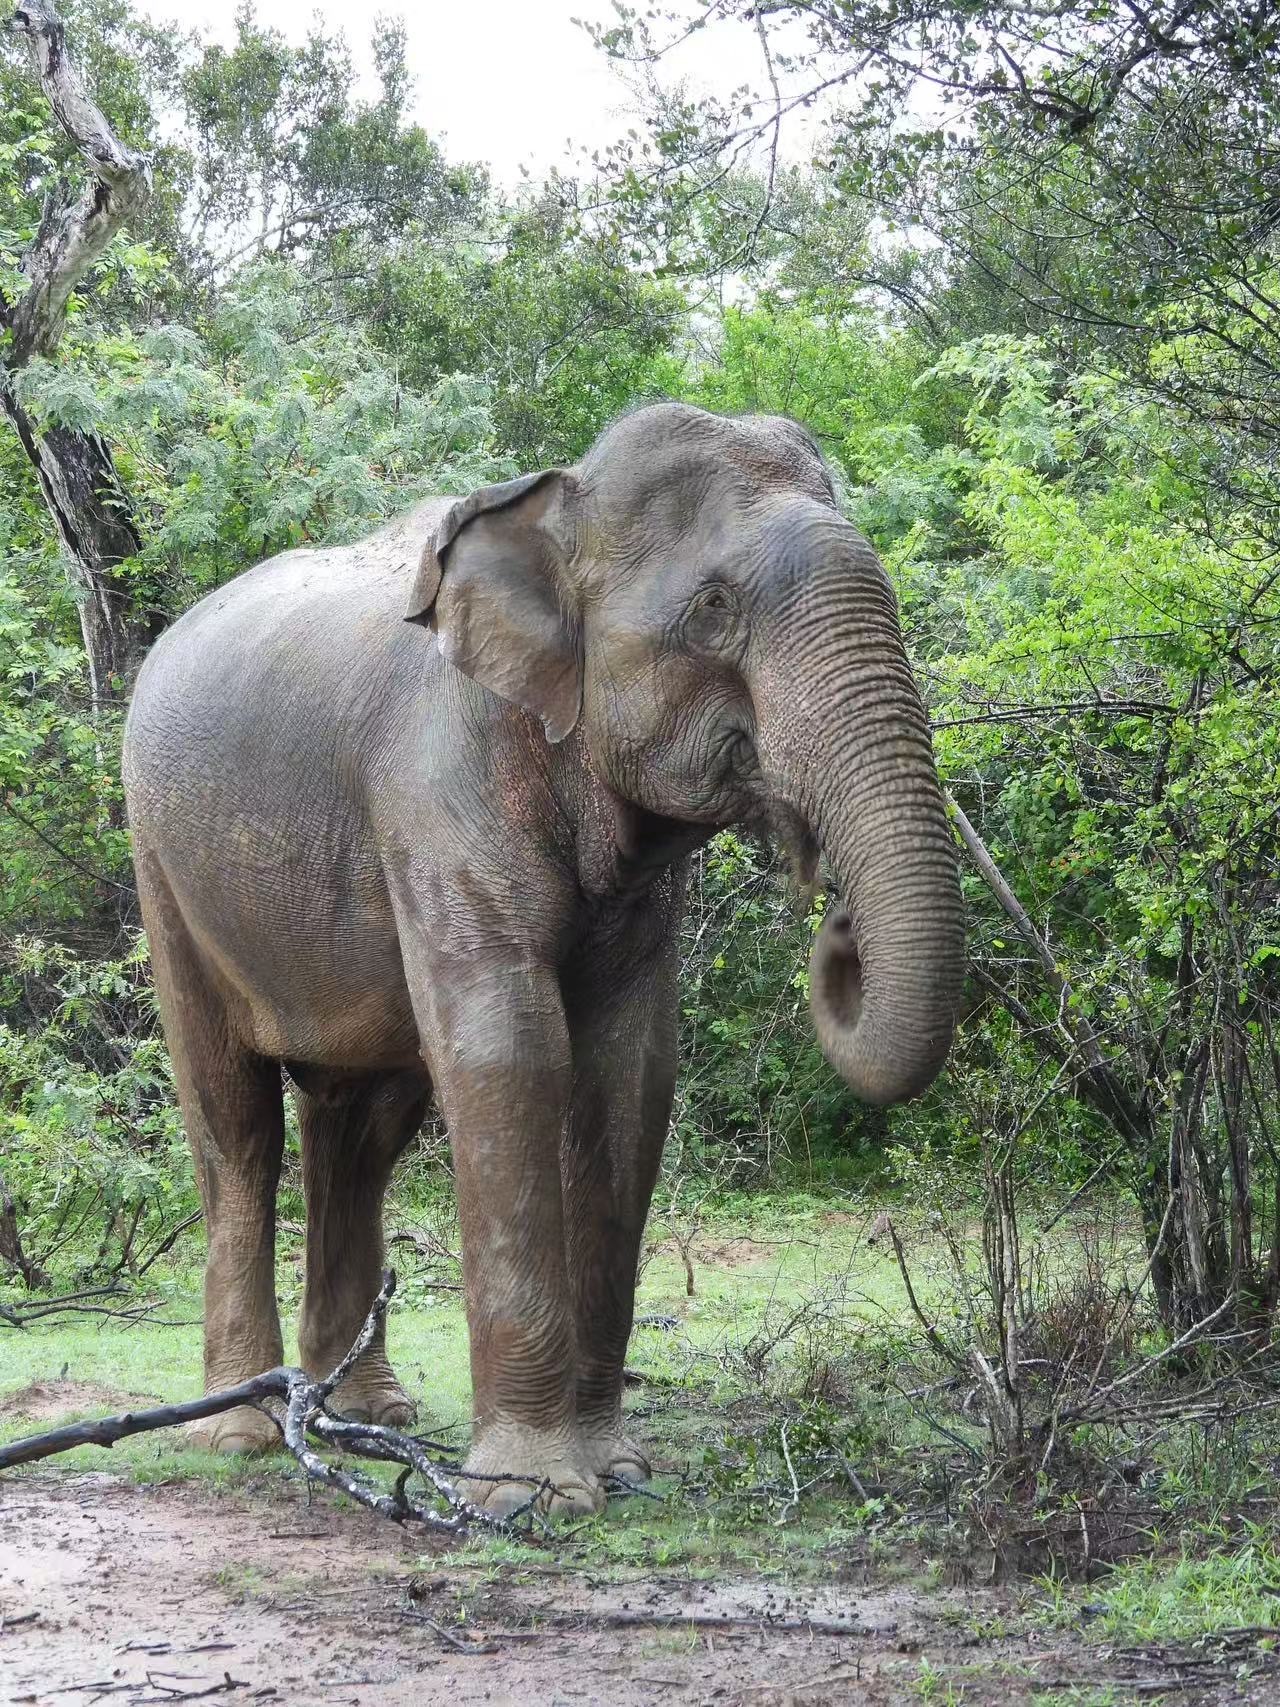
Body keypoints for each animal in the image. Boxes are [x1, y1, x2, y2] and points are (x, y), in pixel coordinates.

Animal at [121, 401, 964, 1516]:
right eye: (713, 609)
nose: (834, 925)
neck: (556, 503)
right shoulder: (437, 785)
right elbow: (509, 1051)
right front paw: (527, 1495)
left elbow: (628, 1071)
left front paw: (615, 1470)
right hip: (163, 865)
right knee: (236, 1123)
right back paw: (245, 1431)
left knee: (361, 1132)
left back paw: (371, 1411)